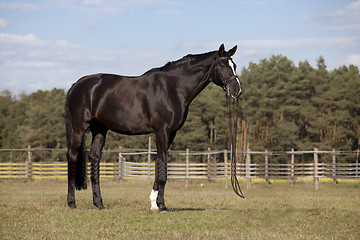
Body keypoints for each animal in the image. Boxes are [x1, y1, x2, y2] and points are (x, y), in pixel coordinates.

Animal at [65, 43, 240, 212]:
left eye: (235, 65)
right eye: (222, 65)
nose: (236, 89)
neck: (172, 88)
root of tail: (75, 86)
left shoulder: (171, 133)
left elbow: (158, 163)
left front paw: (154, 203)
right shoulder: (162, 131)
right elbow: (162, 164)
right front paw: (162, 205)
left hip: (100, 129)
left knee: (94, 157)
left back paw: (99, 203)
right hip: (79, 128)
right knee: (72, 156)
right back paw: (72, 203)